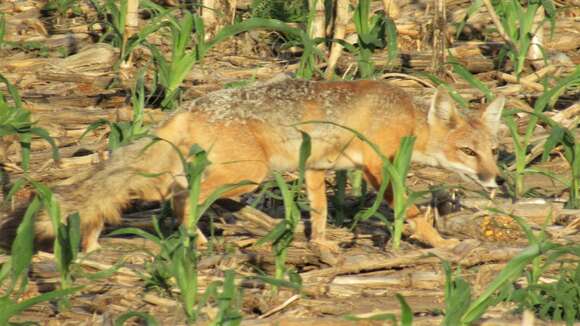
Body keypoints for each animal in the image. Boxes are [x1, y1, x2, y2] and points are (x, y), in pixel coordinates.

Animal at [30, 77, 502, 253]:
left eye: (492, 151)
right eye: (468, 152)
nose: (495, 180)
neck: (405, 115)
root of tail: (191, 104)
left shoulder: (315, 168)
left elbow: (320, 211)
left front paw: (321, 245)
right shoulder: (377, 167)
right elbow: (412, 208)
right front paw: (438, 243)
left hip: (207, 173)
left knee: (154, 192)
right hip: (246, 176)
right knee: (177, 199)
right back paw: (193, 240)